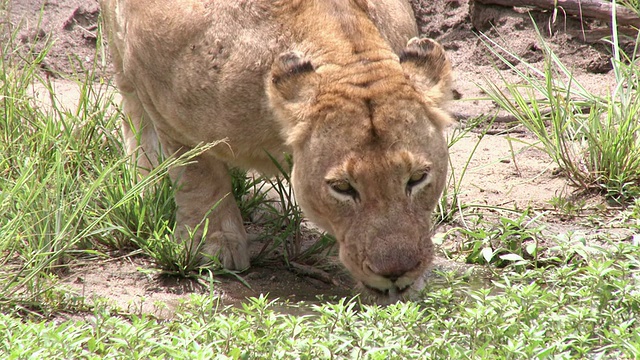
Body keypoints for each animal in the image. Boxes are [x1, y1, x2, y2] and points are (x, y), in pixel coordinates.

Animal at [101, 0, 450, 302]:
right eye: (342, 188)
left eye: (417, 178)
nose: (396, 273)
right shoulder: (163, 102)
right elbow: (198, 177)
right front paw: (213, 246)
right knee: (133, 111)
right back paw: (146, 186)